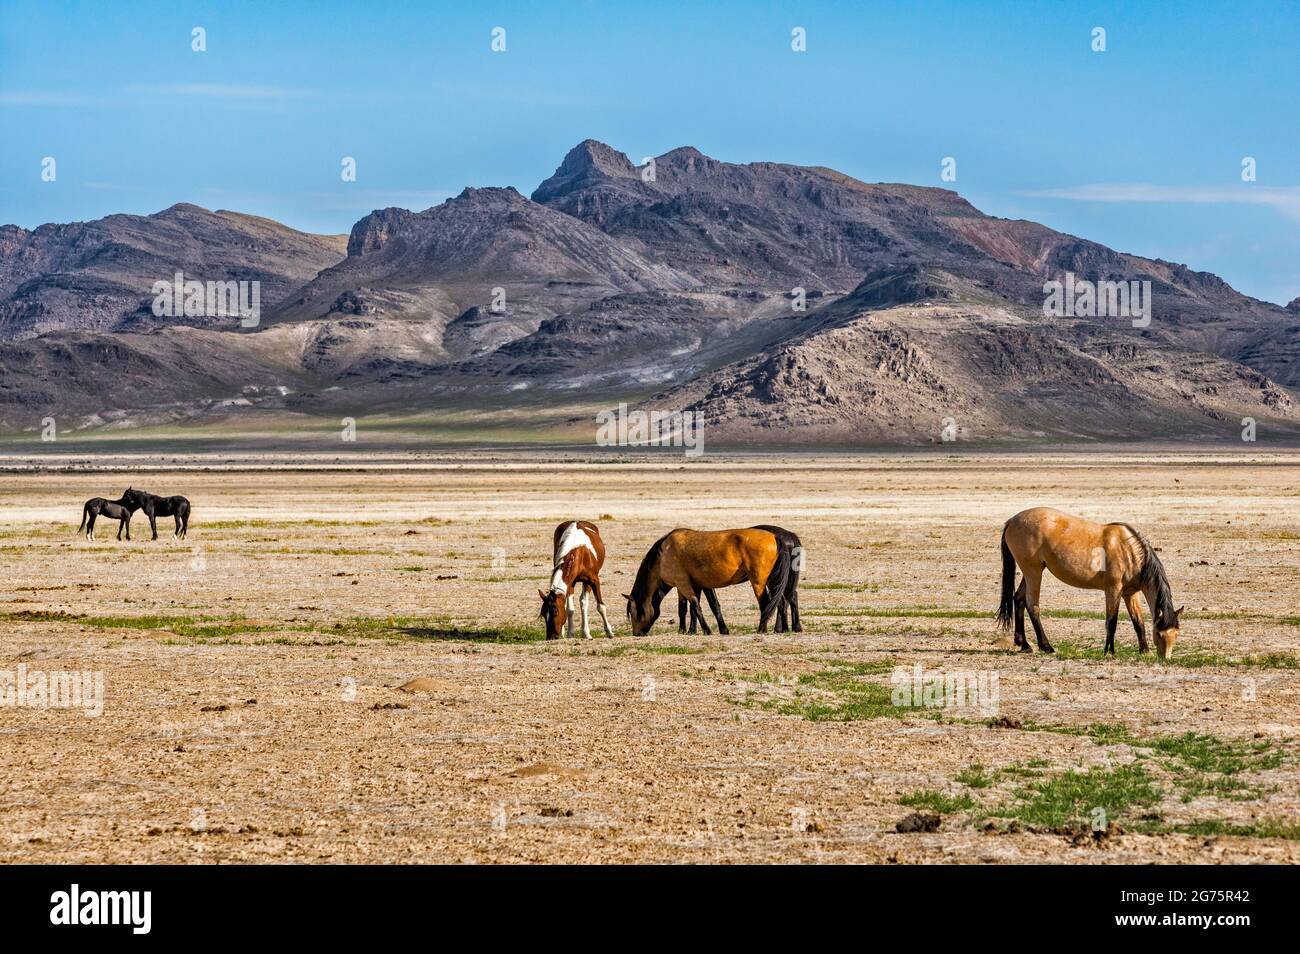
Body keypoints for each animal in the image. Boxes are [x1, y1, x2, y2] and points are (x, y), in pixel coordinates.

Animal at [626, 527, 790, 637]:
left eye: (634, 612)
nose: (636, 633)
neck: (664, 553)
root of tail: (775, 537)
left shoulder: (683, 584)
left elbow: (695, 606)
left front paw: (706, 630)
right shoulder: (697, 585)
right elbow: (691, 608)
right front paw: (688, 630)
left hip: (758, 582)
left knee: (765, 603)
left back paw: (762, 629)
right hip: (772, 581)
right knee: (780, 602)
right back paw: (781, 629)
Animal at [996, 507, 1182, 659]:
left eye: (1176, 634)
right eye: (1159, 634)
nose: (1165, 659)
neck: (1129, 550)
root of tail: (1012, 521)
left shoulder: (1130, 593)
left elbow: (1138, 621)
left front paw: (1144, 651)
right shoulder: (1113, 590)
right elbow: (1112, 621)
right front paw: (1109, 651)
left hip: (1031, 573)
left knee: (1018, 599)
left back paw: (1024, 644)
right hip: (1033, 572)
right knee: (1032, 604)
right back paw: (1046, 646)